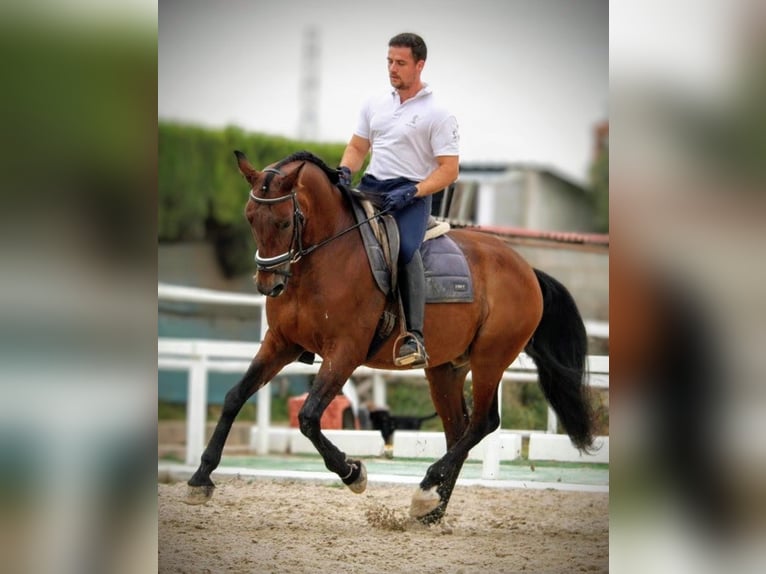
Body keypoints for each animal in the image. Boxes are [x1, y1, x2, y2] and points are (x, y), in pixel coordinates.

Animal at [186, 150, 595, 524]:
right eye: (250, 218)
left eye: (286, 222)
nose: (268, 285)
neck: (323, 257)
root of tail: (527, 268)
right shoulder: (280, 344)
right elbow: (234, 397)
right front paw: (201, 478)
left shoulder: (345, 351)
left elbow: (309, 417)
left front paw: (353, 473)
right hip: (445, 369)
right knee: (458, 430)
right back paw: (430, 509)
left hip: (489, 358)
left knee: (482, 423)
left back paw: (426, 489)